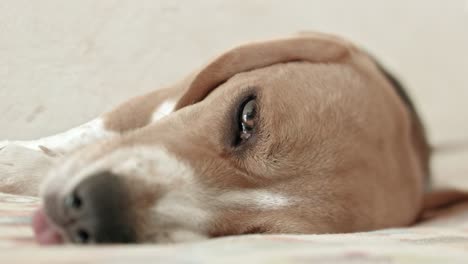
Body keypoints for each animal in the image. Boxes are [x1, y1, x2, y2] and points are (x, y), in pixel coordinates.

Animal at [1, 32, 438, 244]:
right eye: (247, 115)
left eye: (255, 233)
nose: (95, 209)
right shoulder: (148, 104)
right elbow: (89, 133)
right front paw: (18, 158)